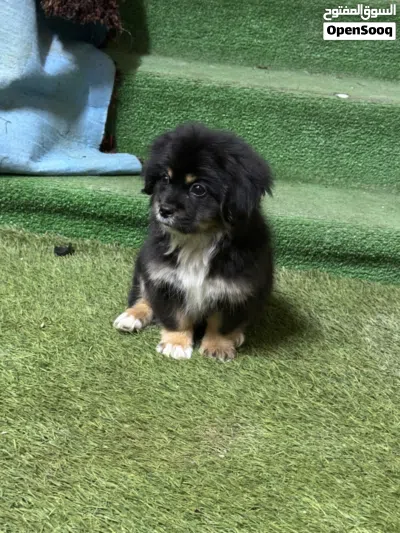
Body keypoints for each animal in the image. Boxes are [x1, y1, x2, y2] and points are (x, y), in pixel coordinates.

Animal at [114, 123, 274, 361]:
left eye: (198, 189)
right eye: (165, 179)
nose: (163, 209)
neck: (197, 240)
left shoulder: (235, 290)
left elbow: (222, 323)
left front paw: (218, 347)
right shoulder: (164, 278)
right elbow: (175, 316)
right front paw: (176, 344)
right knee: (143, 296)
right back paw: (131, 316)